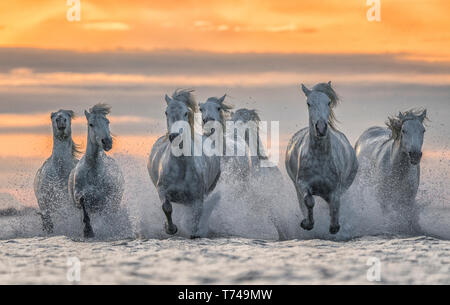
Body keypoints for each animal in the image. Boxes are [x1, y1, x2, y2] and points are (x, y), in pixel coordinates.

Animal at [67, 103, 123, 236]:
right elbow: (83, 202)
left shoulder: (105, 199)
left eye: (107, 122)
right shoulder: (79, 197)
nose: (107, 142)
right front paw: (88, 231)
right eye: (91, 124)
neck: (93, 170)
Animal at [149, 88, 221, 238]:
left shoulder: (197, 198)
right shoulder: (162, 189)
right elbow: (167, 208)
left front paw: (193, 232)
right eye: (166, 112)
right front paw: (170, 228)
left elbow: (196, 216)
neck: (181, 167)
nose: (174, 136)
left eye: (186, 112)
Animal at [286, 82, 356, 234]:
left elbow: (334, 205)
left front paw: (334, 226)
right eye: (308, 103)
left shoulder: (336, 189)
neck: (320, 158)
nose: (321, 128)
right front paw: (307, 224)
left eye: (328, 102)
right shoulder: (302, 184)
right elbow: (309, 201)